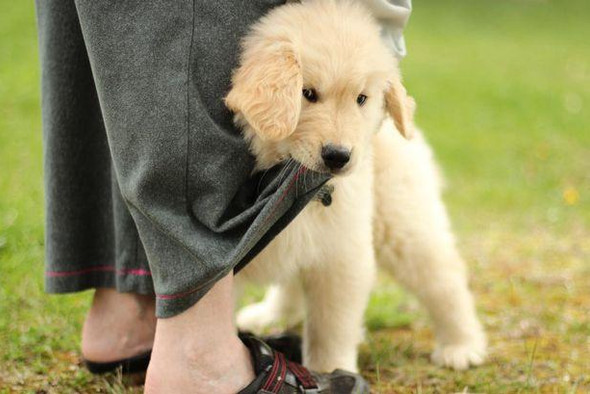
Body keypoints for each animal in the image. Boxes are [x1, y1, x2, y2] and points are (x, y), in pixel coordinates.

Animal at [224, 0, 488, 372]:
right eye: (307, 93)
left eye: (361, 98)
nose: (338, 156)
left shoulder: (341, 255)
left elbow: (330, 328)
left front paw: (330, 372)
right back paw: (270, 315)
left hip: (402, 222)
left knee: (443, 278)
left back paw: (462, 345)